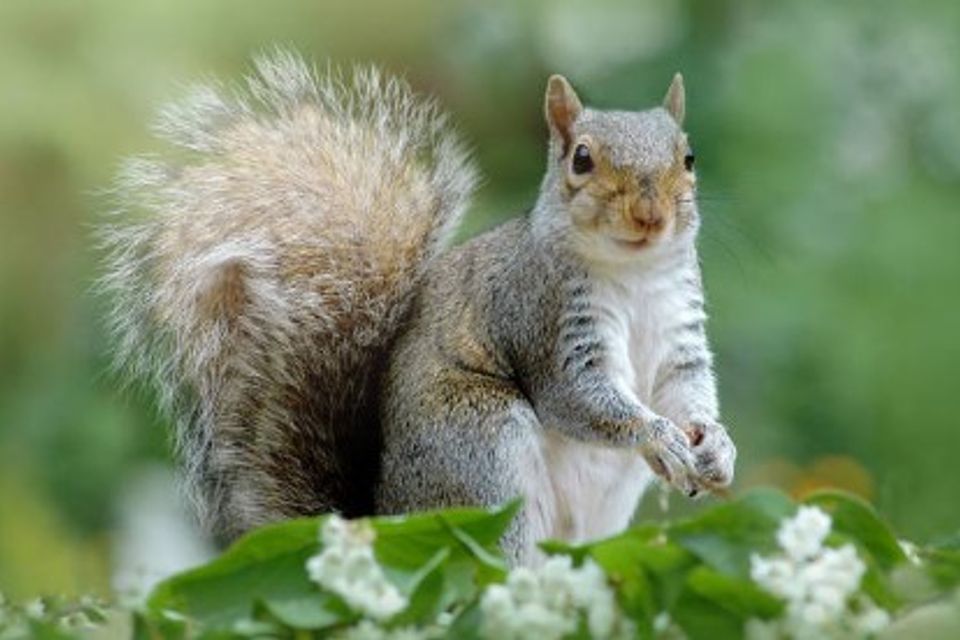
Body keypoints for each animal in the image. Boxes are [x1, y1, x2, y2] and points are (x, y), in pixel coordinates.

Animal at [101, 50, 735, 564]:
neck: (634, 276)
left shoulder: (680, 335)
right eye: (581, 159)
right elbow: (579, 399)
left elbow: (686, 390)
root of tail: (385, 521)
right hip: (481, 454)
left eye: (688, 157)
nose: (651, 216)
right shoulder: (541, 317)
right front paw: (659, 437)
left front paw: (716, 445)